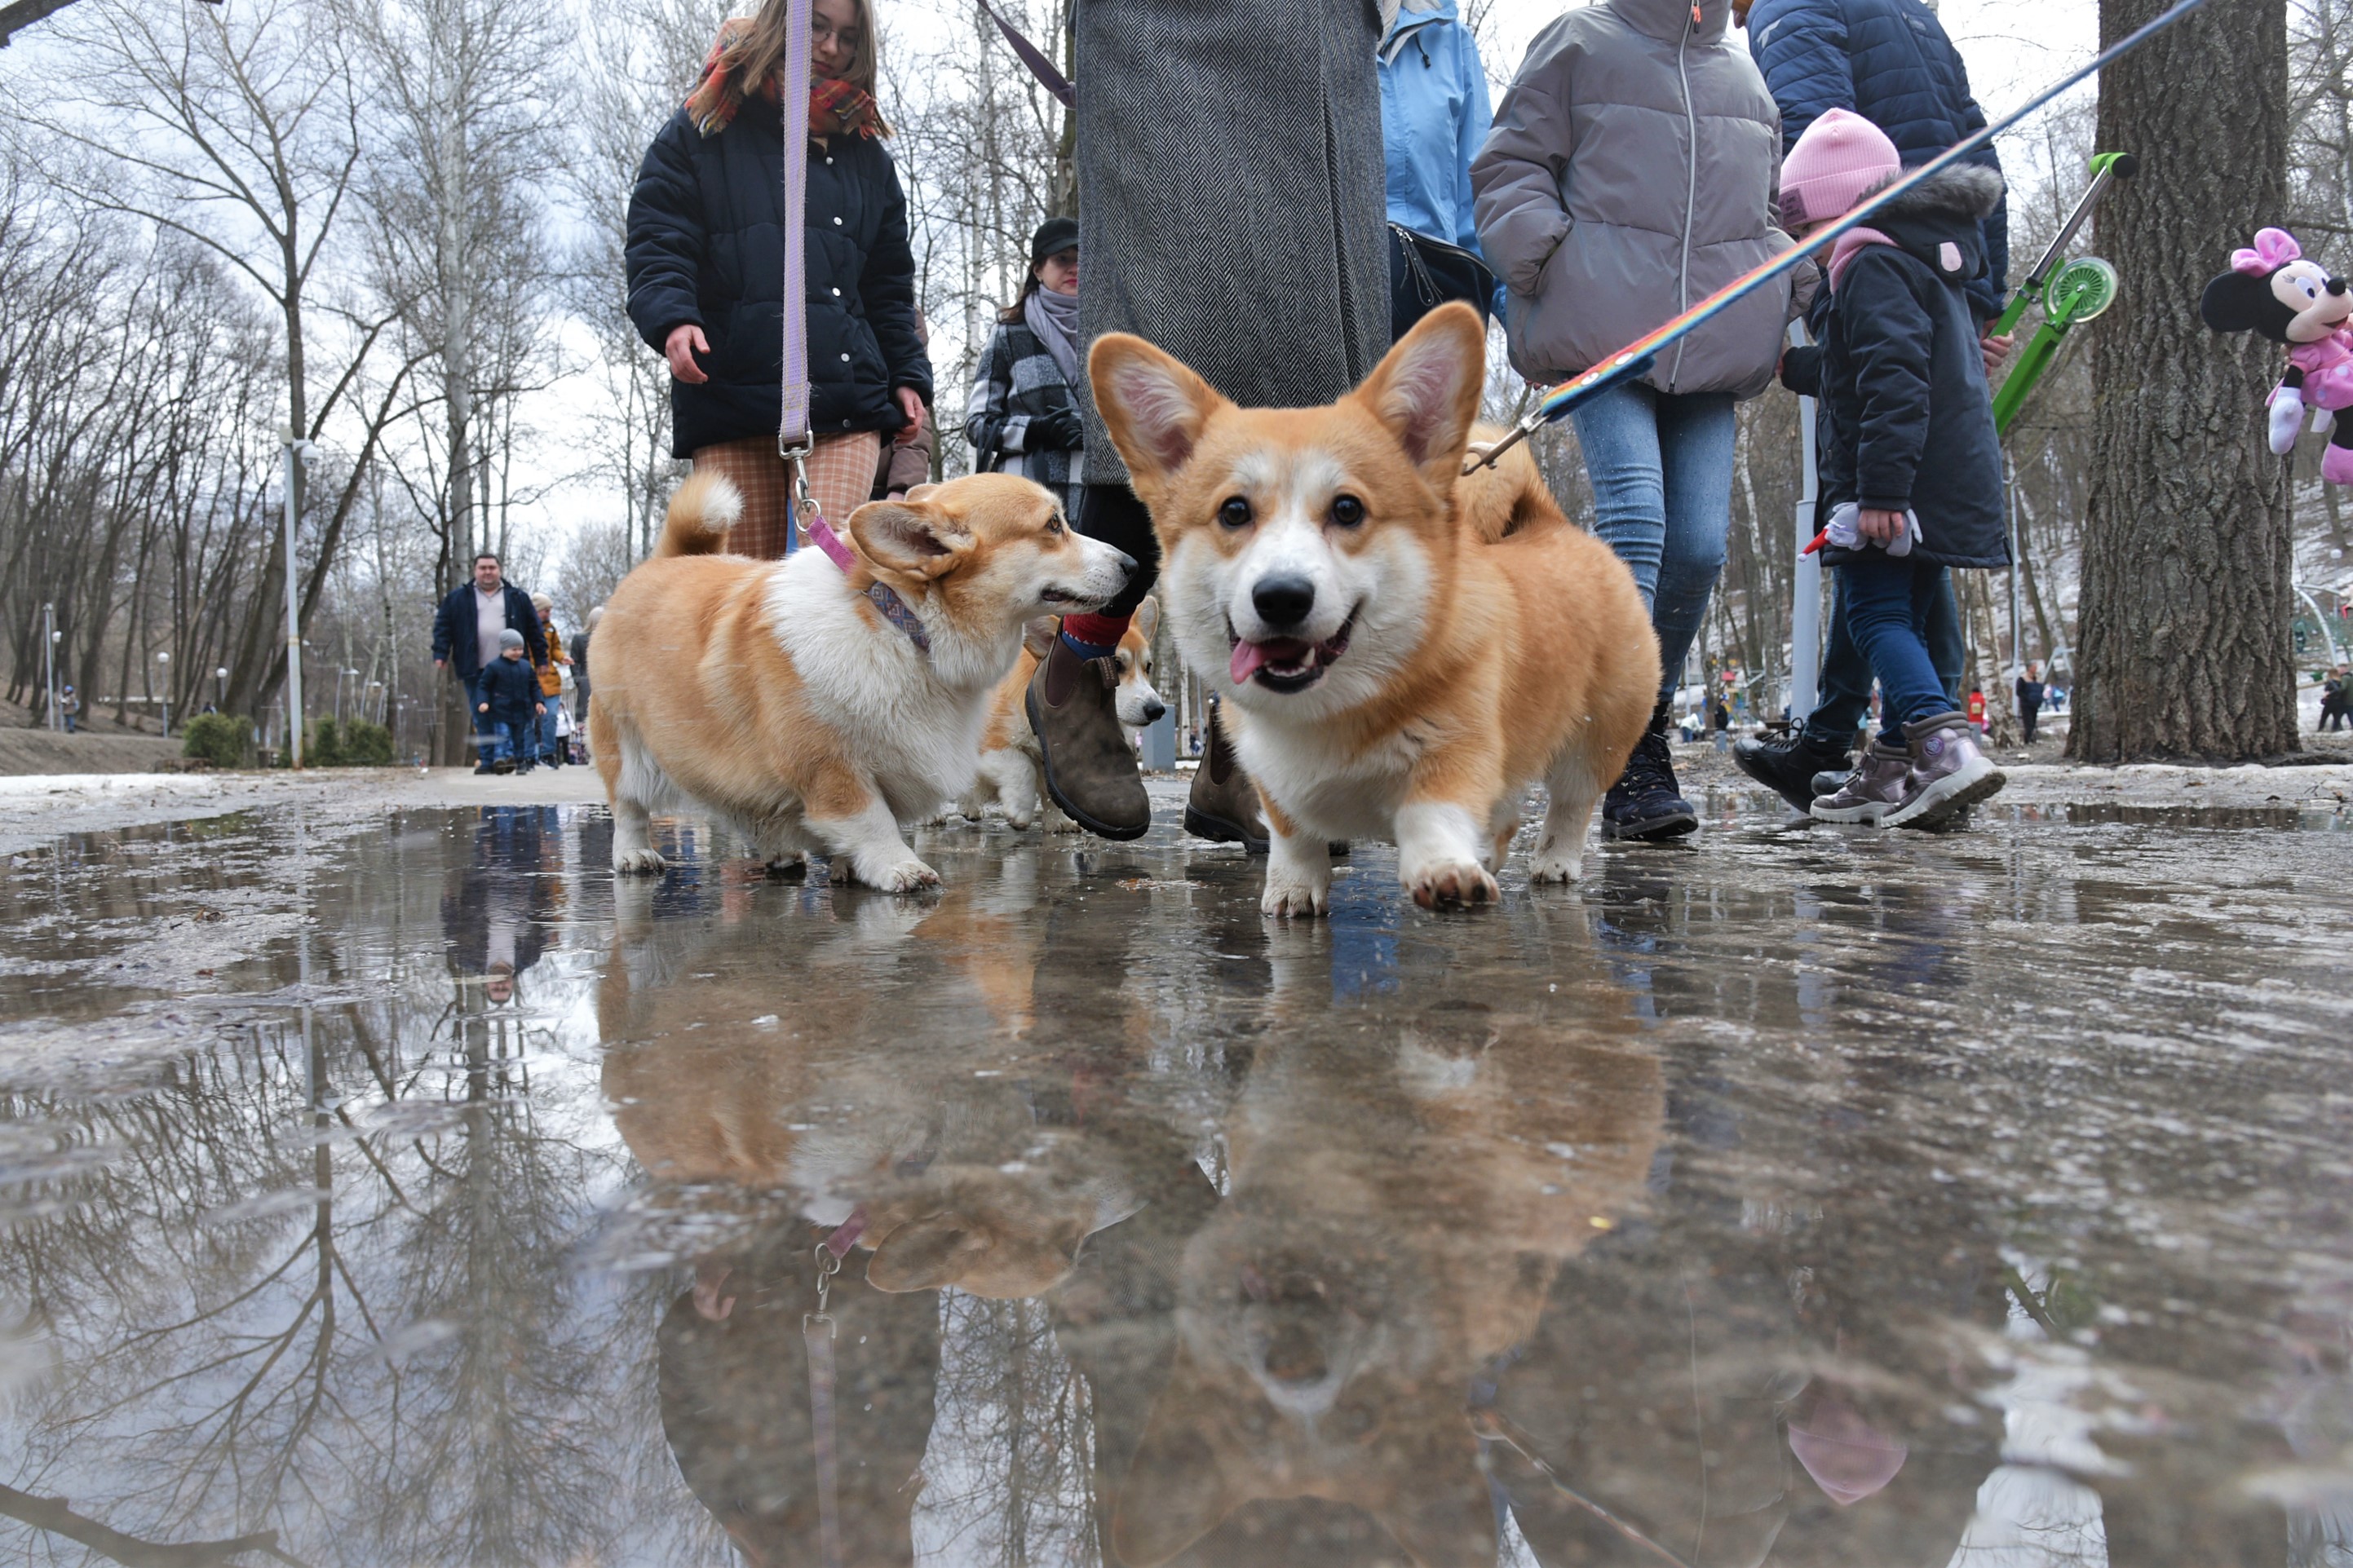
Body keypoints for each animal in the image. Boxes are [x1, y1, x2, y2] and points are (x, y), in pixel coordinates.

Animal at [593, 465, 1134, 888]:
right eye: (1053, 525)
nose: (1132, 563)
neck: (905, 623)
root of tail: (664, 562)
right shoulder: (829, 766)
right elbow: (872, 820)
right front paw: (899, 867)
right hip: (624, 743)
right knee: (628, 805)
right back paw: (633, 854)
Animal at [950, 594, 1171, 827]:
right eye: (1117, 664)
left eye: (1148, 667)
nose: (1157, 710)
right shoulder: (992, 744)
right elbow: (1021, 766)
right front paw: (1020, 808)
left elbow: (1053, 793)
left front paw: (1060, 822)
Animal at [1086, 305, 1656, 912]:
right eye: (1234, 511)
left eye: (1347, 509)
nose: (1281, 596)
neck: (1327, 707)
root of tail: (1551, 525)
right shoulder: (1270, 776)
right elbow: (1292, 834)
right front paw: (1292, 889)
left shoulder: (1459, 746)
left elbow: (1433, 809)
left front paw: (1444, 868)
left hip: (1601, 735)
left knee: (1572, 802)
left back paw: (1552, 860)